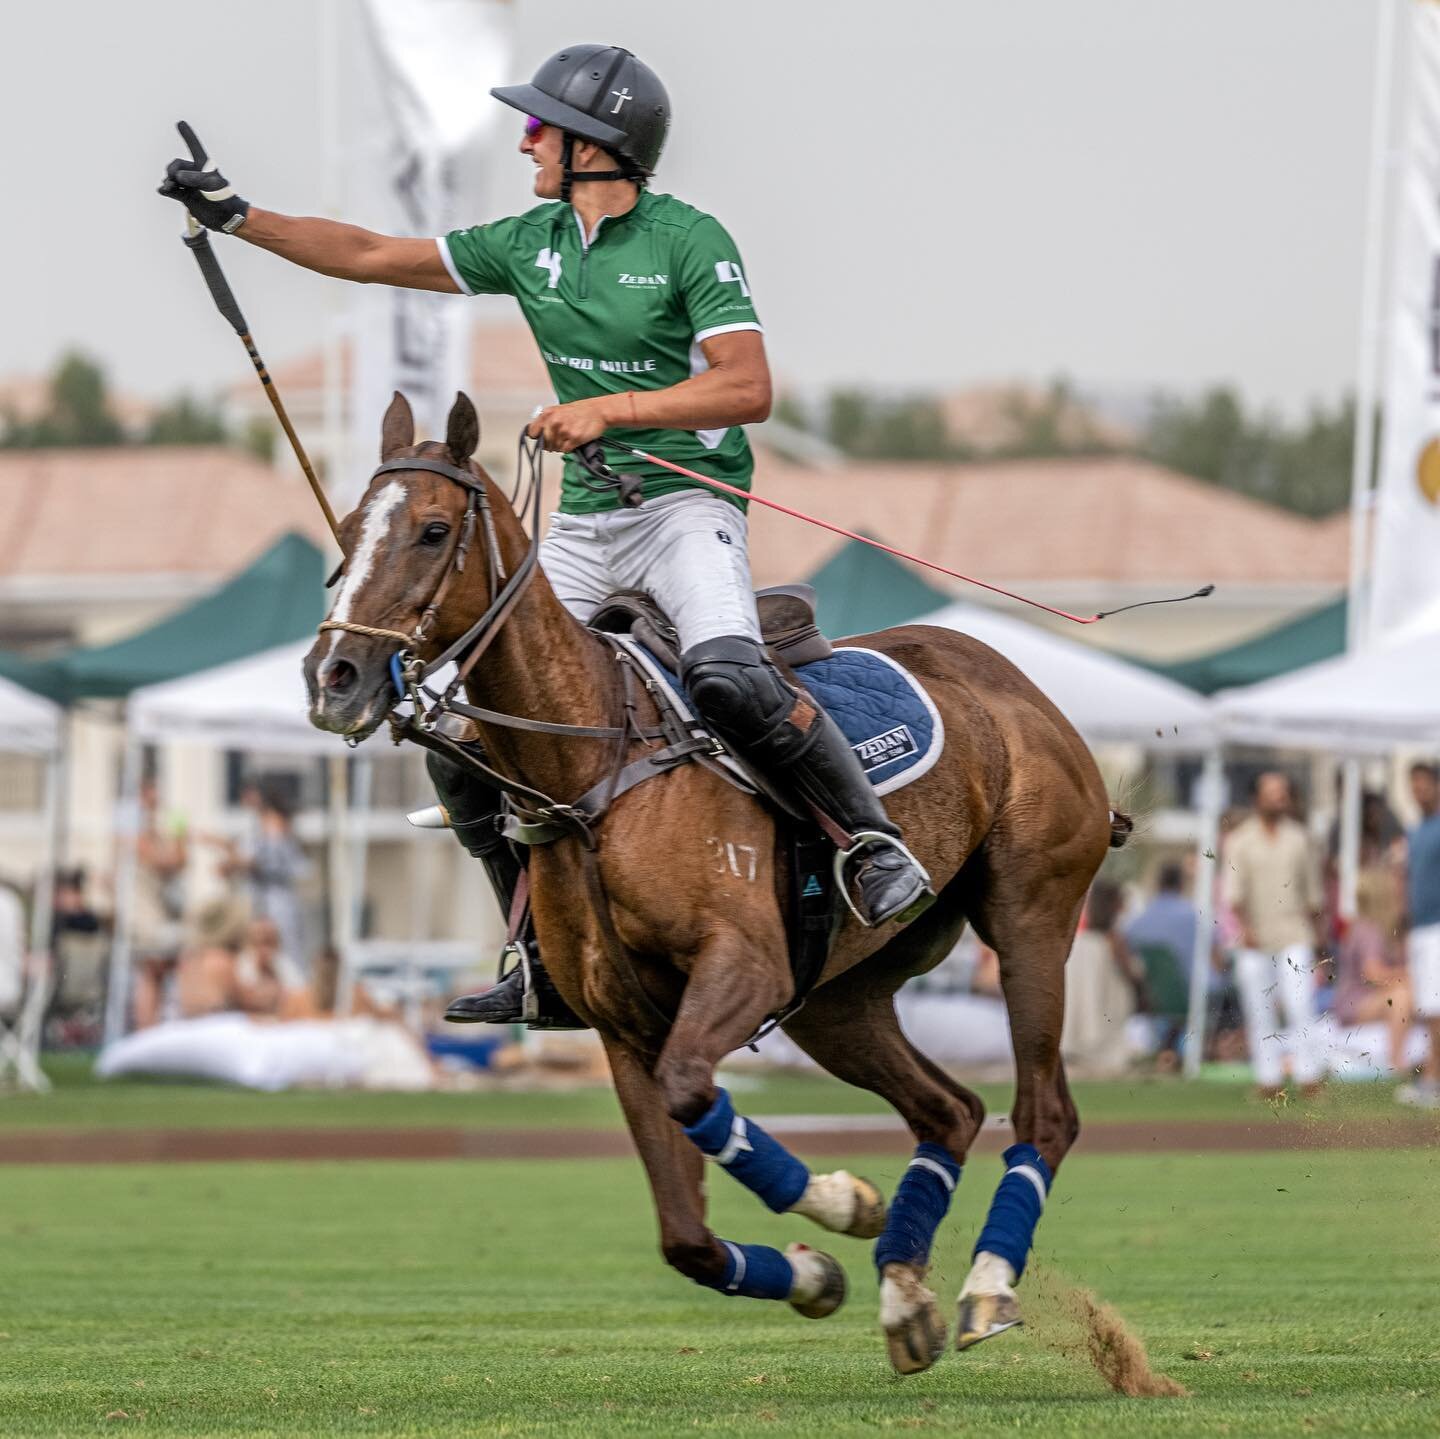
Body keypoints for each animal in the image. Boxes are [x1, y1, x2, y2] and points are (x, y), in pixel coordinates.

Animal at [309, 391, 1128, 1371]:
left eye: (434, 530)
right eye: (349, 531)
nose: (335, 677)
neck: (591, 768)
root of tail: (1013, 679)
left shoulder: (743, 966)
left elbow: (696, 1090)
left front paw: (838, 1202)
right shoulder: (624, 1026)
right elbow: (685, 1237)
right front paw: (820, 1268)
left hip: (1029, 912)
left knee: (1044, 1110)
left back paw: (986, 1286)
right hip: (837, 997)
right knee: (950, 1107)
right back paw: (905, 1295)